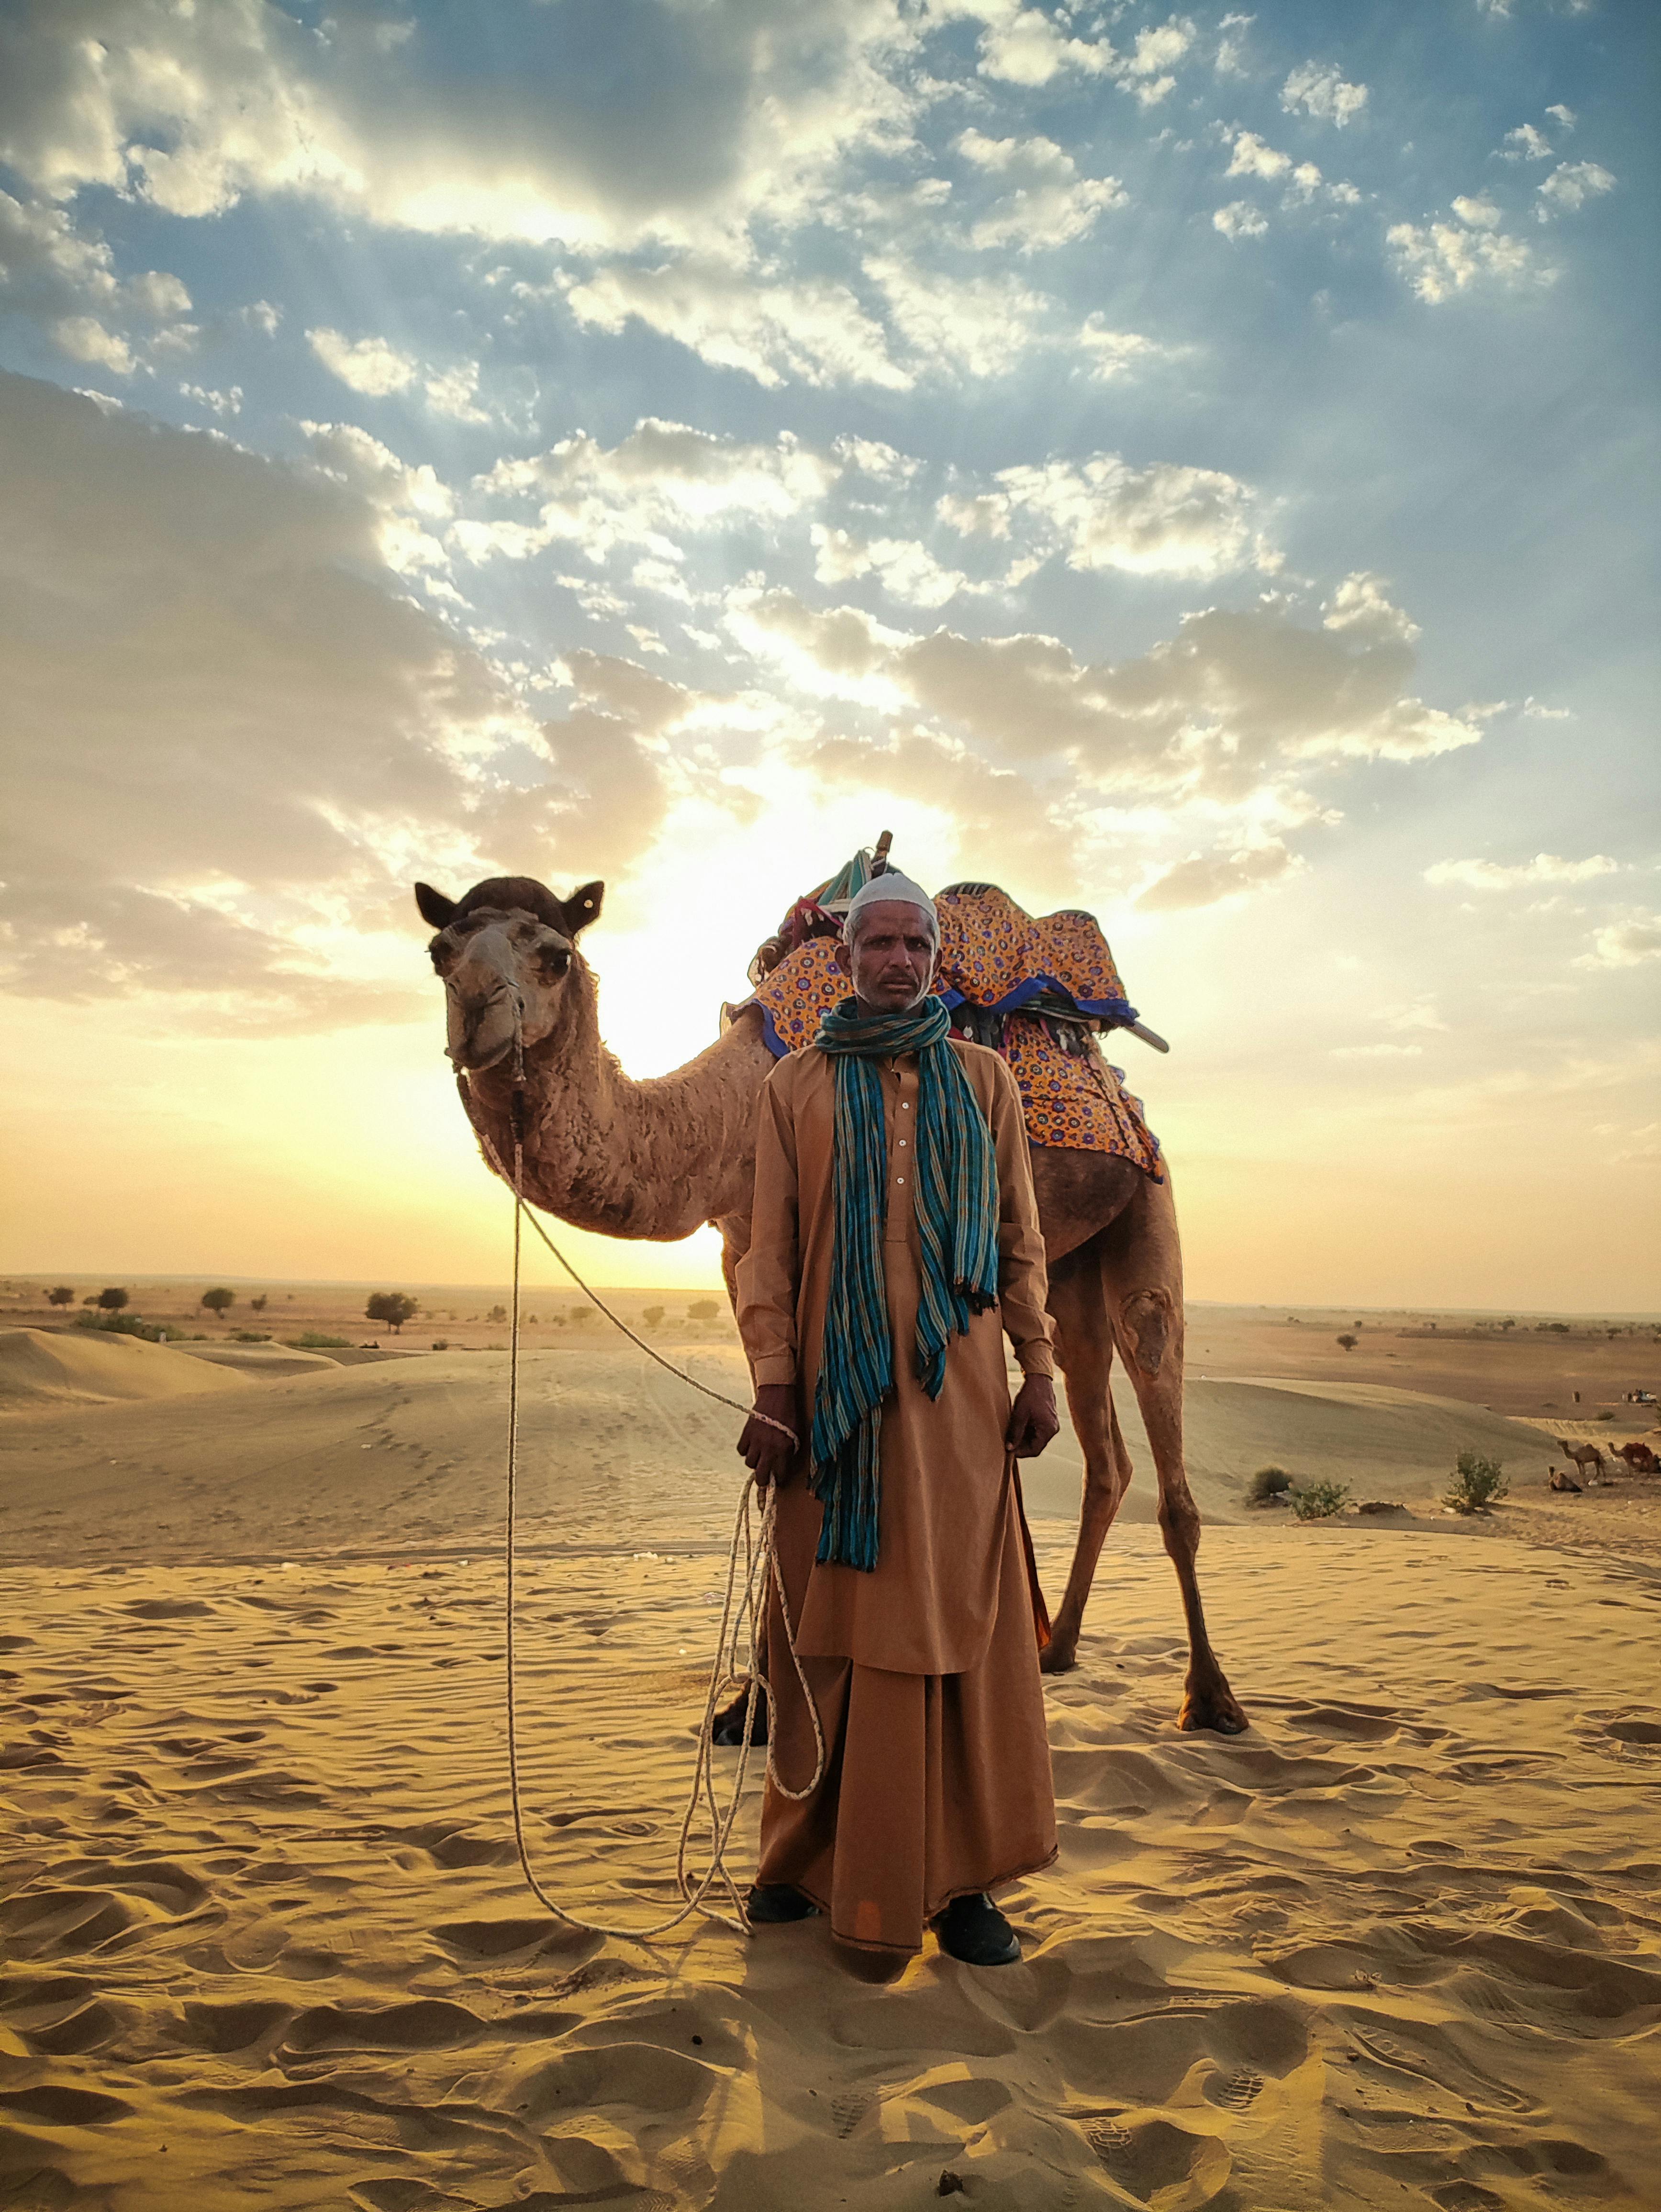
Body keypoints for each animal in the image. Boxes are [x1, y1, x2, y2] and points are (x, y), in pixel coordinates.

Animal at [415, 871, 1247, 1734]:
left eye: (553, 954)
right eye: (441, 951)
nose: (476, 1013)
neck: (724, 1112)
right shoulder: (742, 1244)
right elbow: (778, 1448)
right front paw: (748, 1707)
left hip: (1147, 1196)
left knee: (1151, 1345)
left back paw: (1209, 1695)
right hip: (1073, 1262)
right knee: (1101, 1438)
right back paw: (1058, 1650)